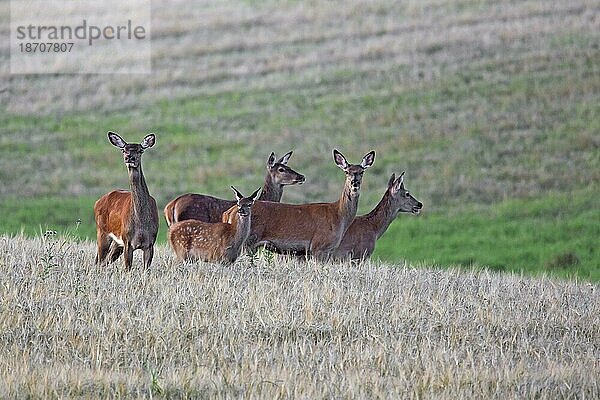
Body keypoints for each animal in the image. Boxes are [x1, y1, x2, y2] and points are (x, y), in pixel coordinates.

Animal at [94, 131, 159, 268]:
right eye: (124, 150)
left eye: (140, 150)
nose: (129, 157)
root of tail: (98, 202)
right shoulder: (128, 241)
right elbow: (127, 267)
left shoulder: (150, 243)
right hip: (102, 232)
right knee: (99, 261)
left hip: (117, 243)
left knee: (105, 260)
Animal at [223, 149, 376, 260]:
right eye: (347, 171)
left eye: (362, 171)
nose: (355, 183)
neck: (339, 215)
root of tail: (229, 213)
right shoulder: (319, 247)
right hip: (247, 241)